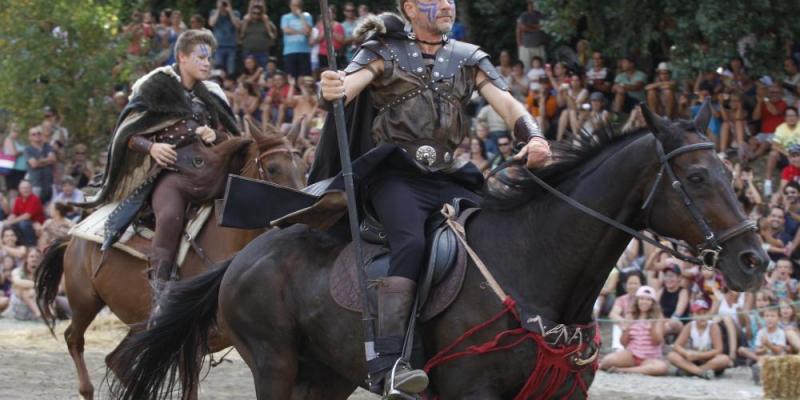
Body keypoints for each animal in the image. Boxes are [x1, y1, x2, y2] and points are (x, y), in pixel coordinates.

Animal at [33, 122, 306, 400]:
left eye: (304, 167)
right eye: (273, 168)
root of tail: (72, 239)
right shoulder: (191, 347)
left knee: (116, 360)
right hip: (84, 302)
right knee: (74, 339)